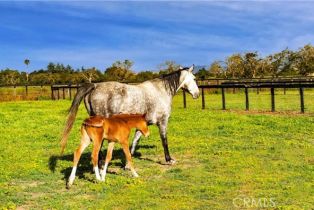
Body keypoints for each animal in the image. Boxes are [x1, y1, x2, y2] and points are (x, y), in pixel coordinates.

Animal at [61, 65, 199, 164]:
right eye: (194, 78)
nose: (197, 94)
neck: (161, 91)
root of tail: (94, 86)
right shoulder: (163, 122)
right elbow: (164, 140)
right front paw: (169, 159)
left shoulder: (143, 125)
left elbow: (135, 141)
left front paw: (128, 163)